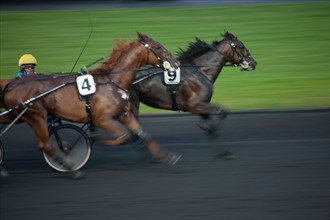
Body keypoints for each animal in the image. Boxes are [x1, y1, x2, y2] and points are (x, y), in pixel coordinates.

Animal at [0, 32, 180, 175]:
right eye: (157, 47)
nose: (176, 63)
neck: (113, 82)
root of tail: (11, 85)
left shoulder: (125, 114)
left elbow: (142, 134)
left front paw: (166, 156)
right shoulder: (102, 119)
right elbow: (124, 136)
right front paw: (95, 138)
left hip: (18, 114)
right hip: (35, 115)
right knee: (45, 145)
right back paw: (71, 169)